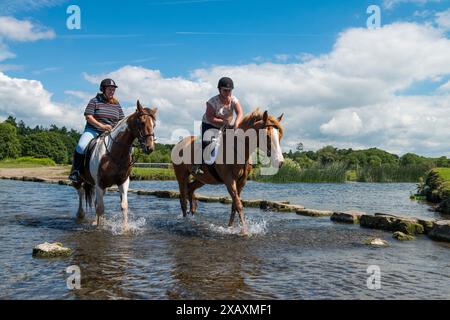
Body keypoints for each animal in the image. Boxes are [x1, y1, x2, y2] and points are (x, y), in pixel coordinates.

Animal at [73, 101, 157, 229]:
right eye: (142, 122)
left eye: (154, 125)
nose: (150, 148)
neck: (115, 153)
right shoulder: (99, 182)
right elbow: (100, 208)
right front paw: (99, 228)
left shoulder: (123, 181)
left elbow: (124, 205)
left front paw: (125, 228)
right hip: (80, 180)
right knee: (81, 192)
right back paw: (80, 214)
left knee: (95, 200)